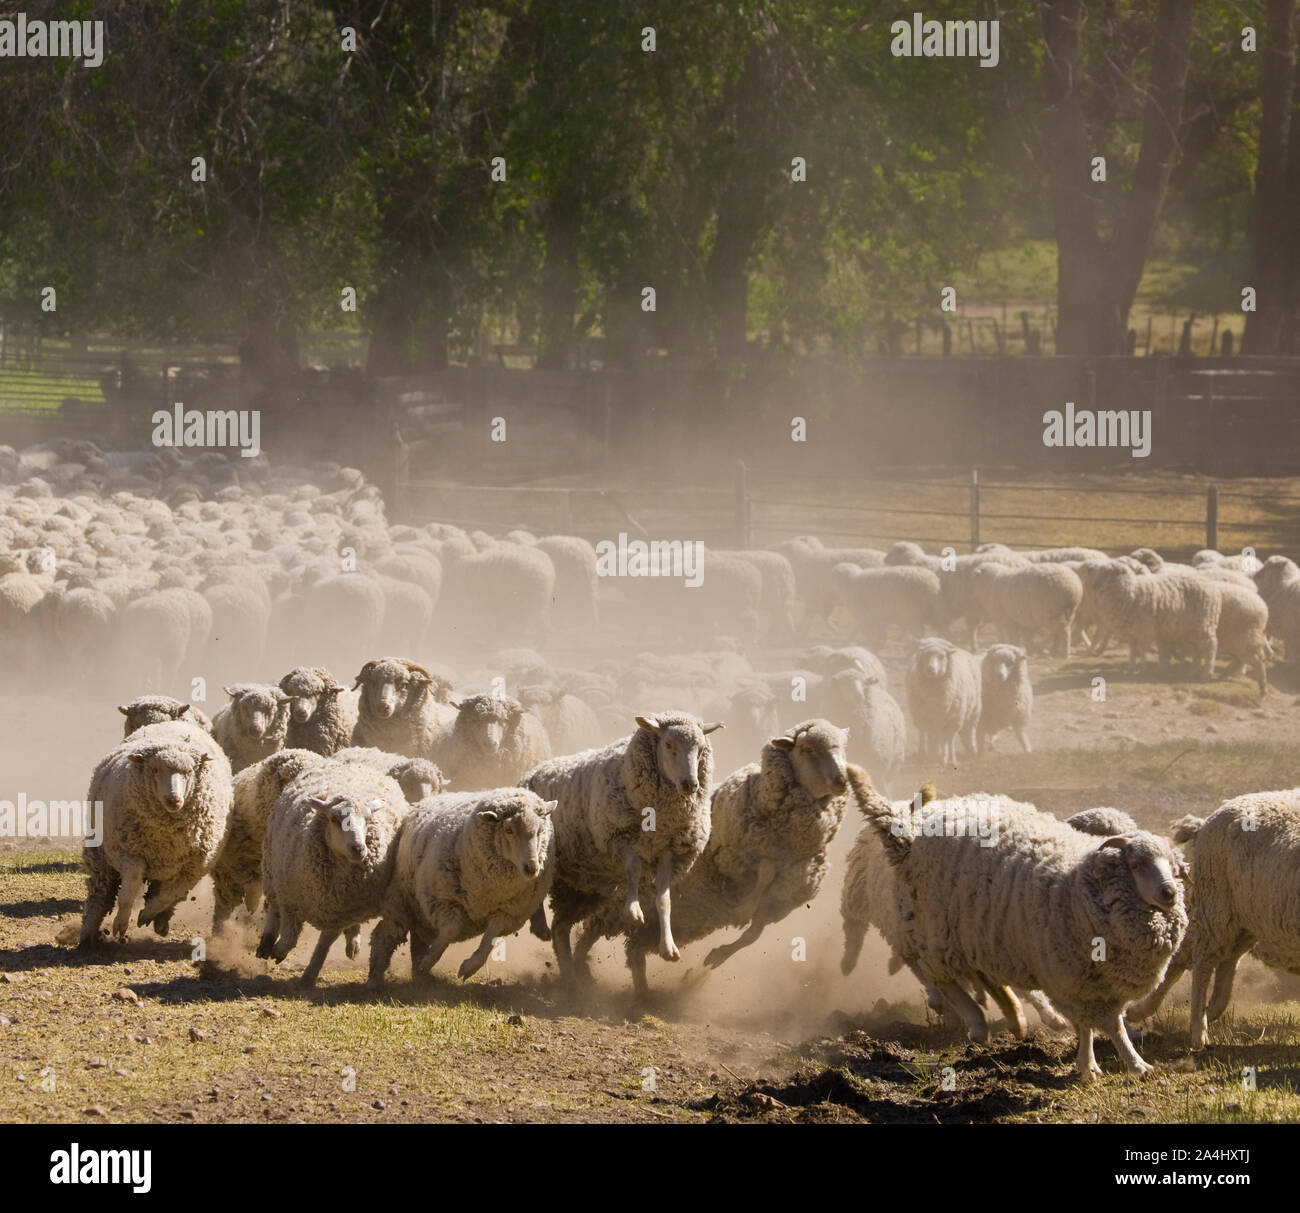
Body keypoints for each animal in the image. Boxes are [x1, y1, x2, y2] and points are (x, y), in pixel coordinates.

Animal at [78, 717, 233, 946]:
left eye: (189, 772)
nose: (173, 799)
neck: (165, 835)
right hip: (100, 854)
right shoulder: (125, 852)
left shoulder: (194, 866)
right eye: (156, 770)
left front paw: (147, 914)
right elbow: (132, 883)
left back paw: (160, 921)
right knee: (100, 893)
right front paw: (121, 923)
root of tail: (172, 722)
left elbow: (169, 895)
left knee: (168, 893)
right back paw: (87, 934)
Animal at [209, 743, 327, 930]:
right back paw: (220, 931)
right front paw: (251, 904)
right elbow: (252, 886)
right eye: (289, 779)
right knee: (225, 904)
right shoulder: (233, 861)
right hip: (227, 874)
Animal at [364, 790, 556, 988]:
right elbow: (451, 929)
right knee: (384, 936)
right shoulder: (440, 901)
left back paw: (419, 975)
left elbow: (489, 941)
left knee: (417, 940)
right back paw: (375, 978)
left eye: (540, 831)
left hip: (420, 916)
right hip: (402, 900)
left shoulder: (507, 913)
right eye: (509, 830)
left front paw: (468, 967)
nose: (532, 868)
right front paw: (428, 961)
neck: (487, 892)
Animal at [517, 712, 722, 972]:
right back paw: (540, 926)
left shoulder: (668, 851)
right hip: (538, 849)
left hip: (582, 883)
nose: (690, 784)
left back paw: (570, 973)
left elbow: (664, 900)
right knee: (536, 883)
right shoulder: (622, 838)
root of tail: (531, 772)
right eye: (668, 744)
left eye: (701, 749)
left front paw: (668, 947)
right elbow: (633, 871)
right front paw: (633, 911)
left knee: (560, 928)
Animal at [857, 785, 1185, 1081]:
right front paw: (1109, 1066)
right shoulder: (1068, 976)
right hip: (937, 932)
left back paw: (1012, 1017)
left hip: (981, 936)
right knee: (939, 977)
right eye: (1136, 863)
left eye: (1172, 864)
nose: (1169, 893)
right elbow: (1096, 1025)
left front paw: (1120, 1062)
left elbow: (1104, 1024)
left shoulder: (1098, 981)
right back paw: (976, 1023)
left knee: (977, 976)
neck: (1080, 883)